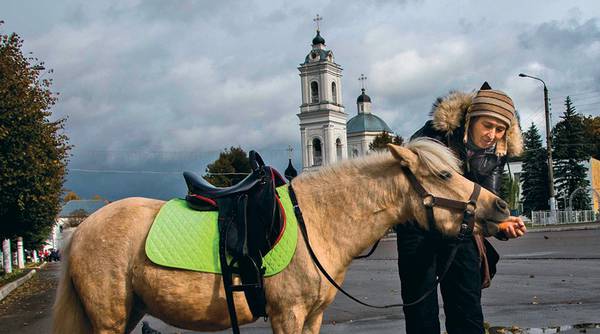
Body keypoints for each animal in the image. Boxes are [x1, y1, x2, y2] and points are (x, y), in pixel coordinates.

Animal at [54, 137, 508, 332]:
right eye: (444, 174)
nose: (501, 207)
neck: (319, 222)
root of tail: (79, 231)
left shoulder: (312, 316)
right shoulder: (287, 314)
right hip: (110, 319)